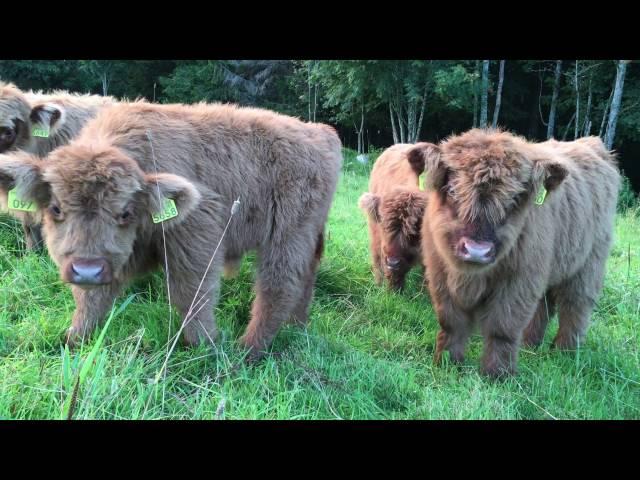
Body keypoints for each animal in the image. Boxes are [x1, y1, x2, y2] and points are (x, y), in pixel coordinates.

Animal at [0, 101, 342, 358]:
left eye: (125, 213)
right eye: (56, 208)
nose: (87, 270)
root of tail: (319, 131)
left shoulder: (197, 233)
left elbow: (191, 294)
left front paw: (205, 344)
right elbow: (91, 299)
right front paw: (75, 338)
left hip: (287, 235)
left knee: (278, 286)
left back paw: (248, 351)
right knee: (304, 278)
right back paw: (297, 327)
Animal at [410, 129, 620, 376]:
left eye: (513, 199)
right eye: (452, 190)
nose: (477, 251)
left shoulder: (519, 281)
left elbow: (502, 327)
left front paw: (497, 374)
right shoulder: (439, 274)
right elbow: (451, 322)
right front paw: (446, 364)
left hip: (589, 263)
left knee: (575, 306)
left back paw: (565, 352)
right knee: (544, 305)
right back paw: (530, 344)